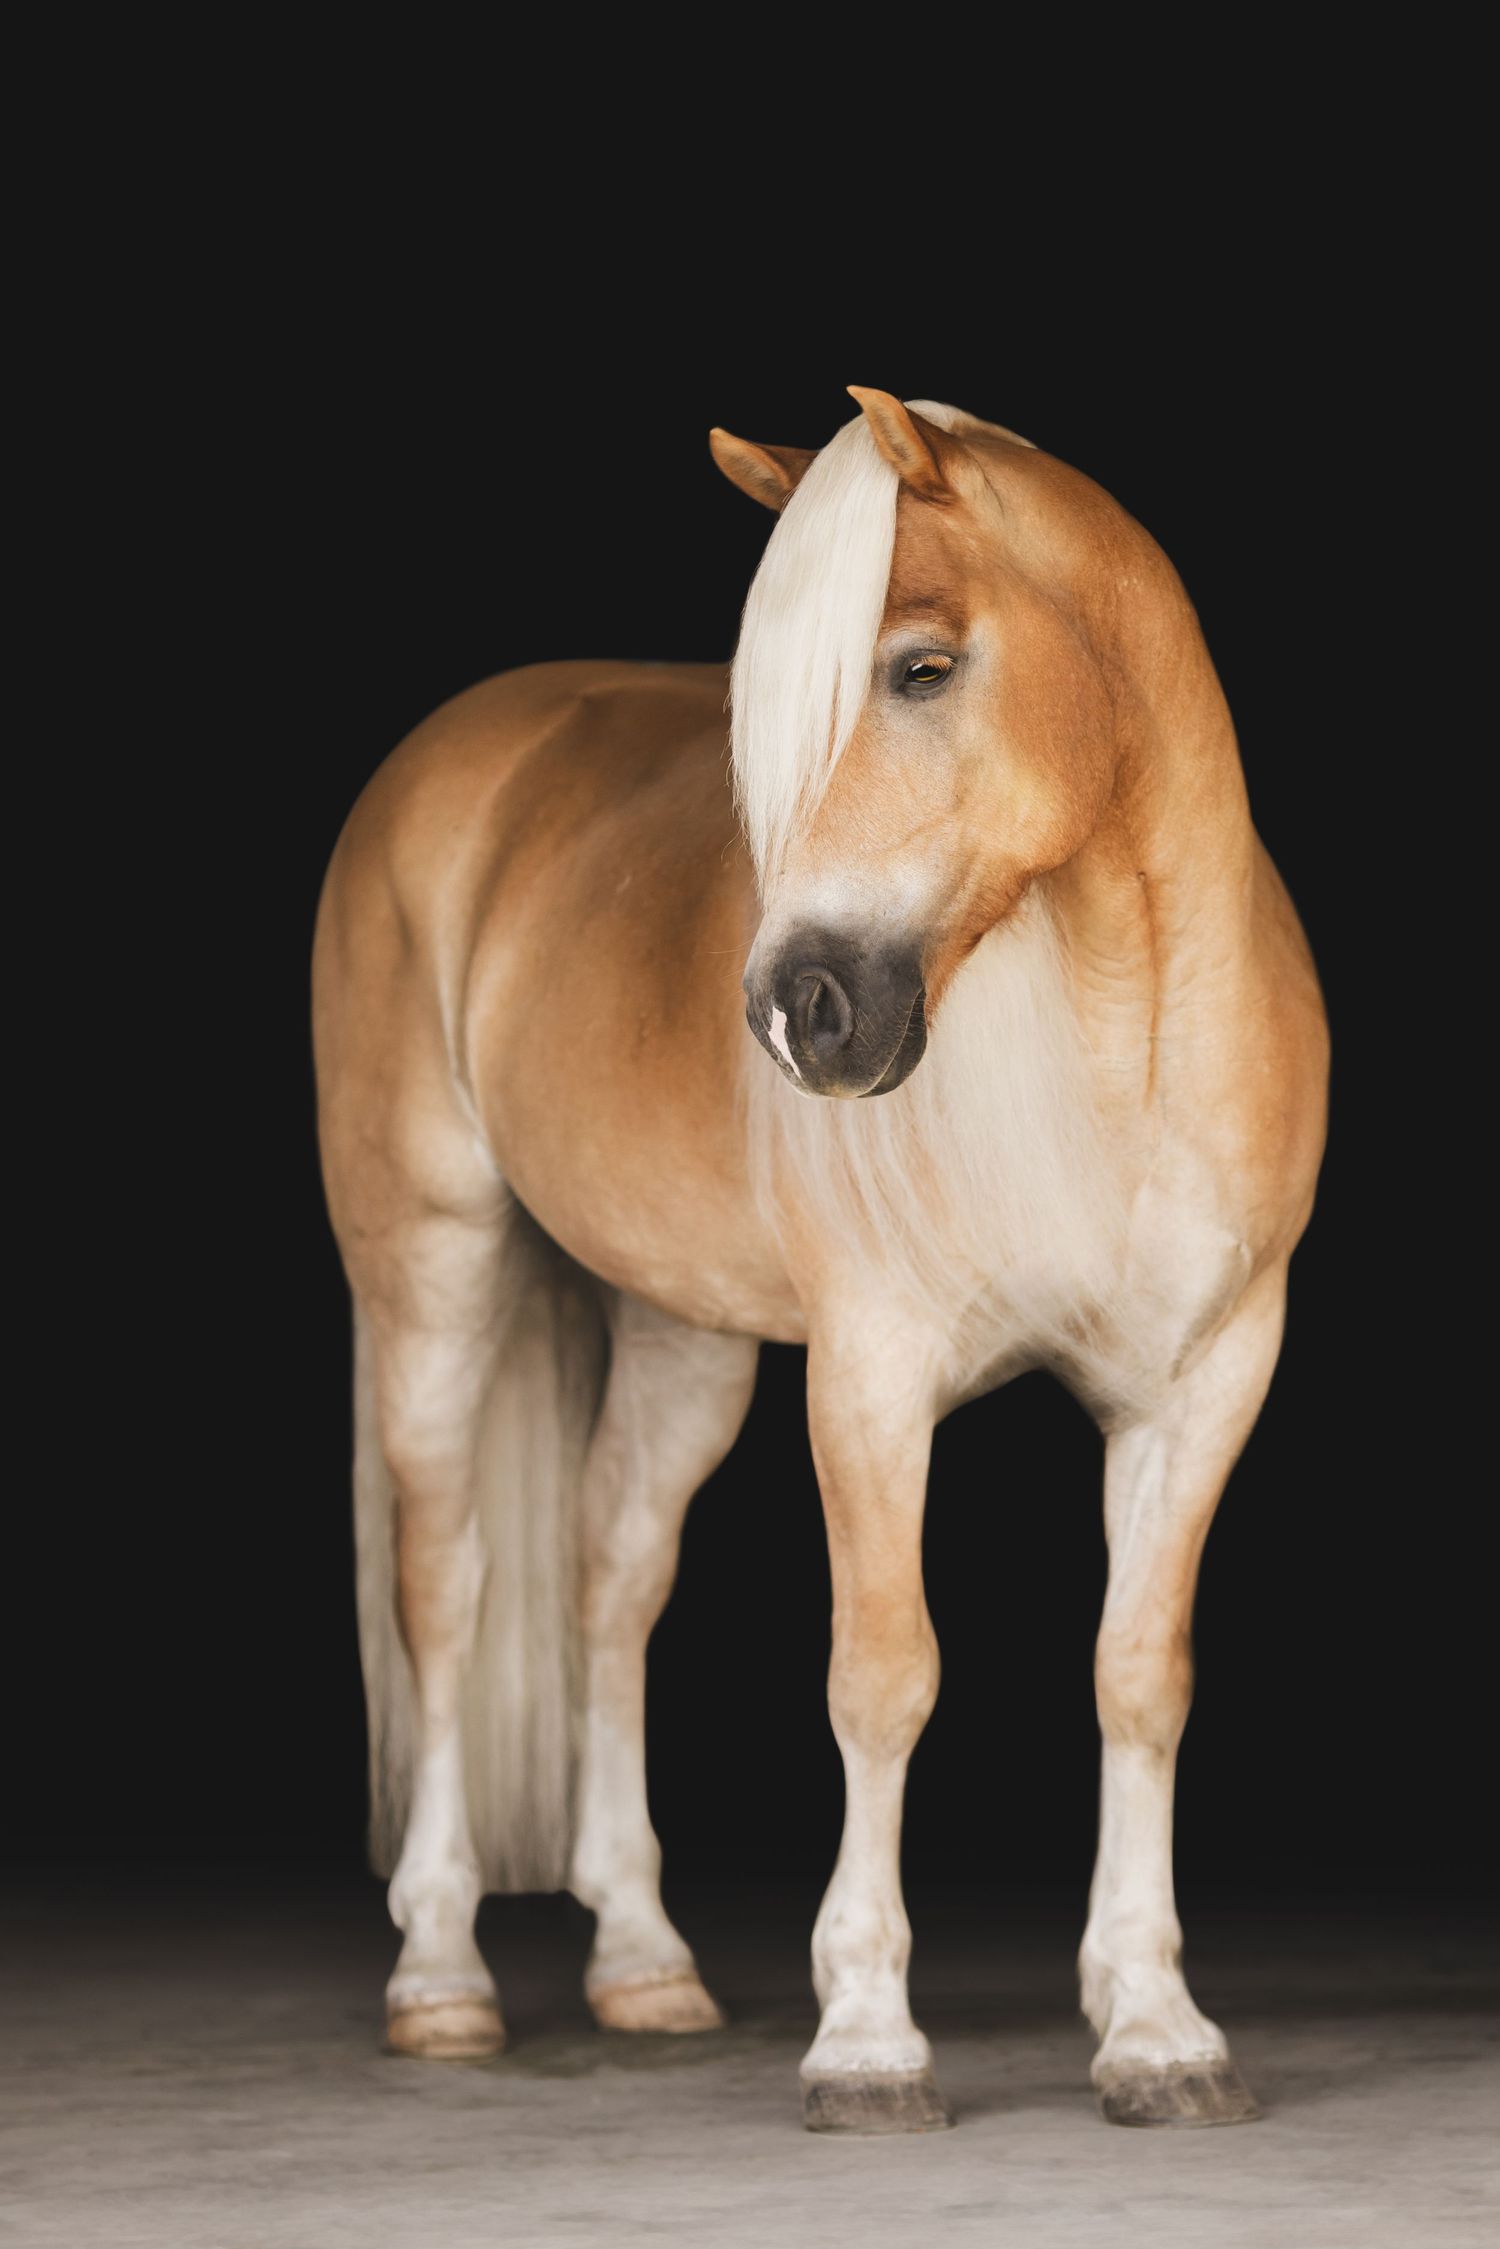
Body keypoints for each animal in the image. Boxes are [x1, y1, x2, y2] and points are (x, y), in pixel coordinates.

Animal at [312, 388, 1328, 2135]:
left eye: (922, 666)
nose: (800, 1013)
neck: (1115, 1032)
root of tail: (458, 754)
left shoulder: (1204, 1380)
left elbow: (1140, 1674)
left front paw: (1156, 2028)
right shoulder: (871, 1378)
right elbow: (883, 1674)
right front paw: (864, 2036)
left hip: (681, 1335)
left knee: (610, 1582)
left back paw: (645, 1965)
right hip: (431, 1270)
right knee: (445, 1588)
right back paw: (441, 1977)